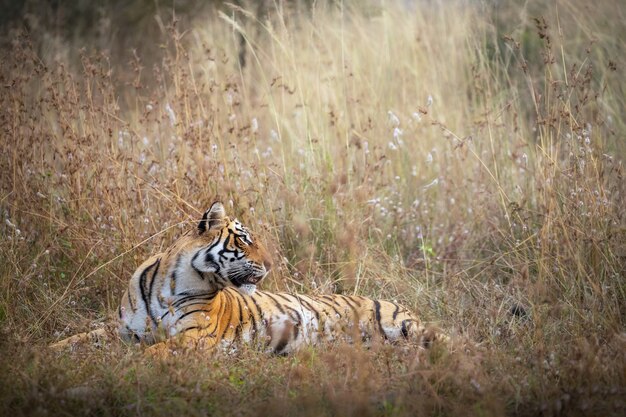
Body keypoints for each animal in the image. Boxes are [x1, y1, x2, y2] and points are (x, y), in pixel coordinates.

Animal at [51, 202, 446, 354]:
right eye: (244, 239)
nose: (271, 264)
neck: (169, 287)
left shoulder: (197, 337)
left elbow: (158, 350)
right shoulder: (122, 329)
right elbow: (77, 338)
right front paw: (43, 352)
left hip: (400, 325)